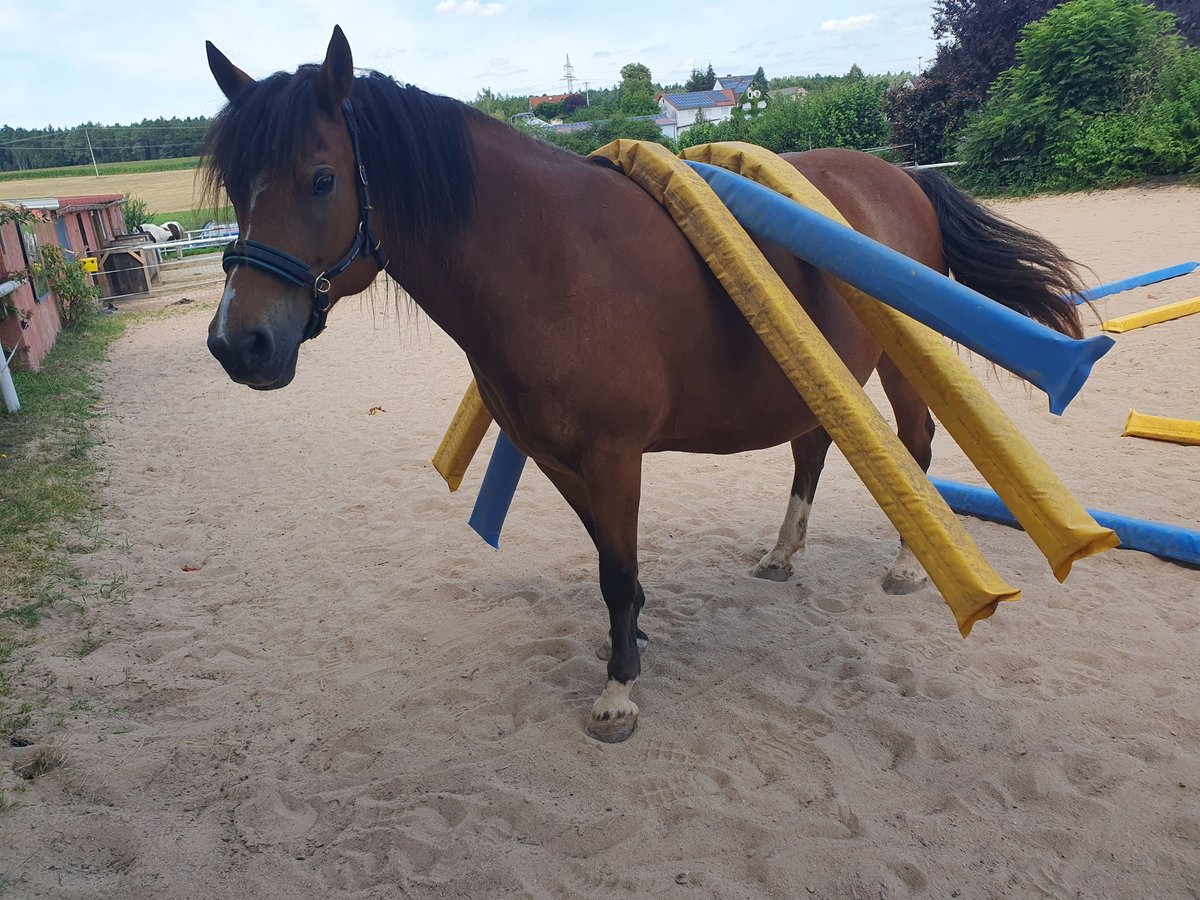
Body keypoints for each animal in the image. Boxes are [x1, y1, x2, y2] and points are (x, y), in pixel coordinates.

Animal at [201, 30, 1084, 748]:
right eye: (239, 186)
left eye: (321, 179)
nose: (238, 343)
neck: (547, 256)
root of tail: (900, 177)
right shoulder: (559, 458)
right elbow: (607, 559)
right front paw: (629, 642)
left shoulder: (614, 455)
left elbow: (618, 571)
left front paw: (618, 693)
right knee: (812, 447)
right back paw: (782, 552)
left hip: (902, 363)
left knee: (916, 444)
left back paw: (905, 565)